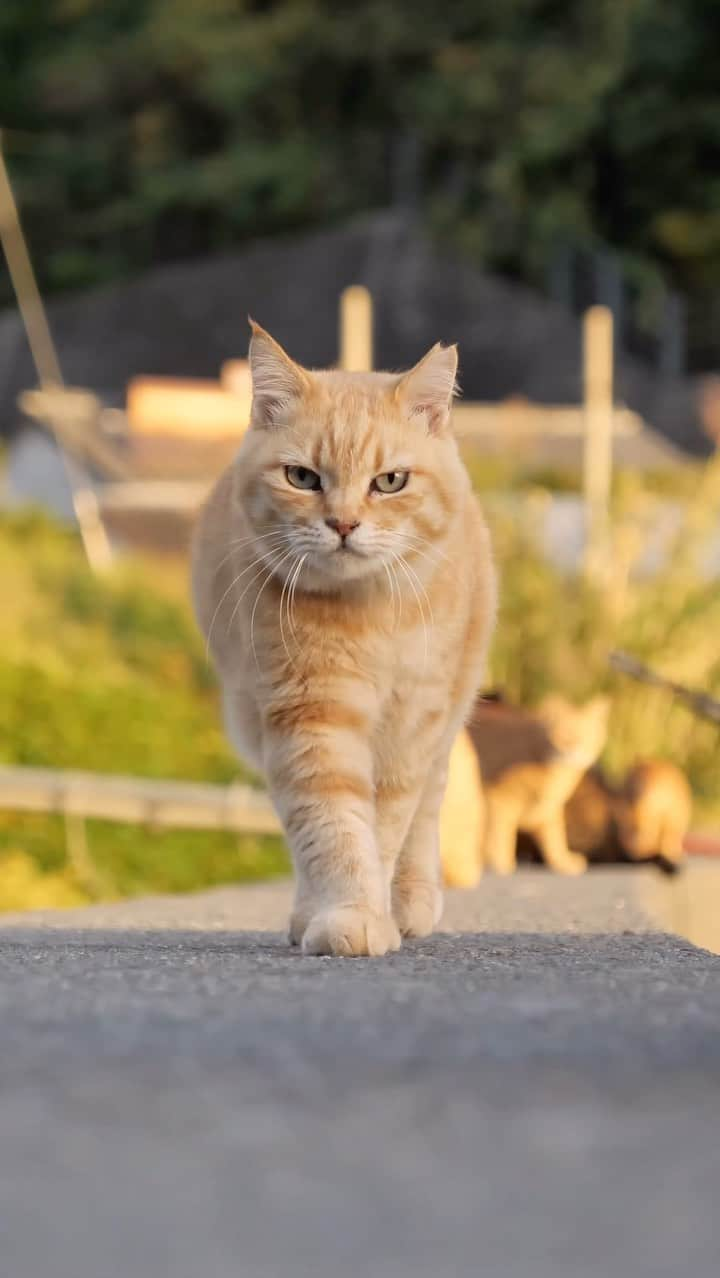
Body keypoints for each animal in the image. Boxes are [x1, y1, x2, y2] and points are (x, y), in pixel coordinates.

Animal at [191, 324, 496, 955]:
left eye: (390, 482)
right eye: (303, 478)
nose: (344, 524)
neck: (367, 616)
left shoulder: (412, 726)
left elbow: (386, 829)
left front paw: (373, 914)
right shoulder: (311, 718)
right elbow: (332, 829)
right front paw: (346, 913)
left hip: (448, 714)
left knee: (428, 809)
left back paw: (410, 901)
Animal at [439, 695, 608, 884]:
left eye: (588, 734)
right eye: (562, 734)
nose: (573, 747)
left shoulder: (547, 810)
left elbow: (555, 838)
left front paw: (563, 862)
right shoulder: (498, 799)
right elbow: (499, 834)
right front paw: (500, 863)